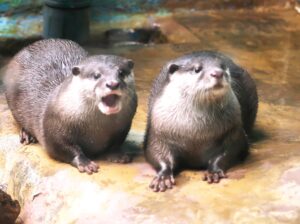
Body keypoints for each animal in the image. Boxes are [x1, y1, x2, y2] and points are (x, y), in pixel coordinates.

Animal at [3, 39, 137, 174]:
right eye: (96, 75)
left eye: (121, 73)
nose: (113, 84)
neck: (97, 129)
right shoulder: (54, 128)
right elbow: (65, 147)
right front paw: (85, 163)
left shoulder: (124, 125)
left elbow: (117, 143)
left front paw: (118, 155)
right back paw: (27, 135)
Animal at [144, 51, 256, 192]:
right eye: (197, 69)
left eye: (223, 66)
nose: (217, 73)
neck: (195, 132)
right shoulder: (158, 133)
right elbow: (156, 152)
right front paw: (163, 177)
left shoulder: (233, 131)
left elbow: (231, 150)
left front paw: (213, 171)